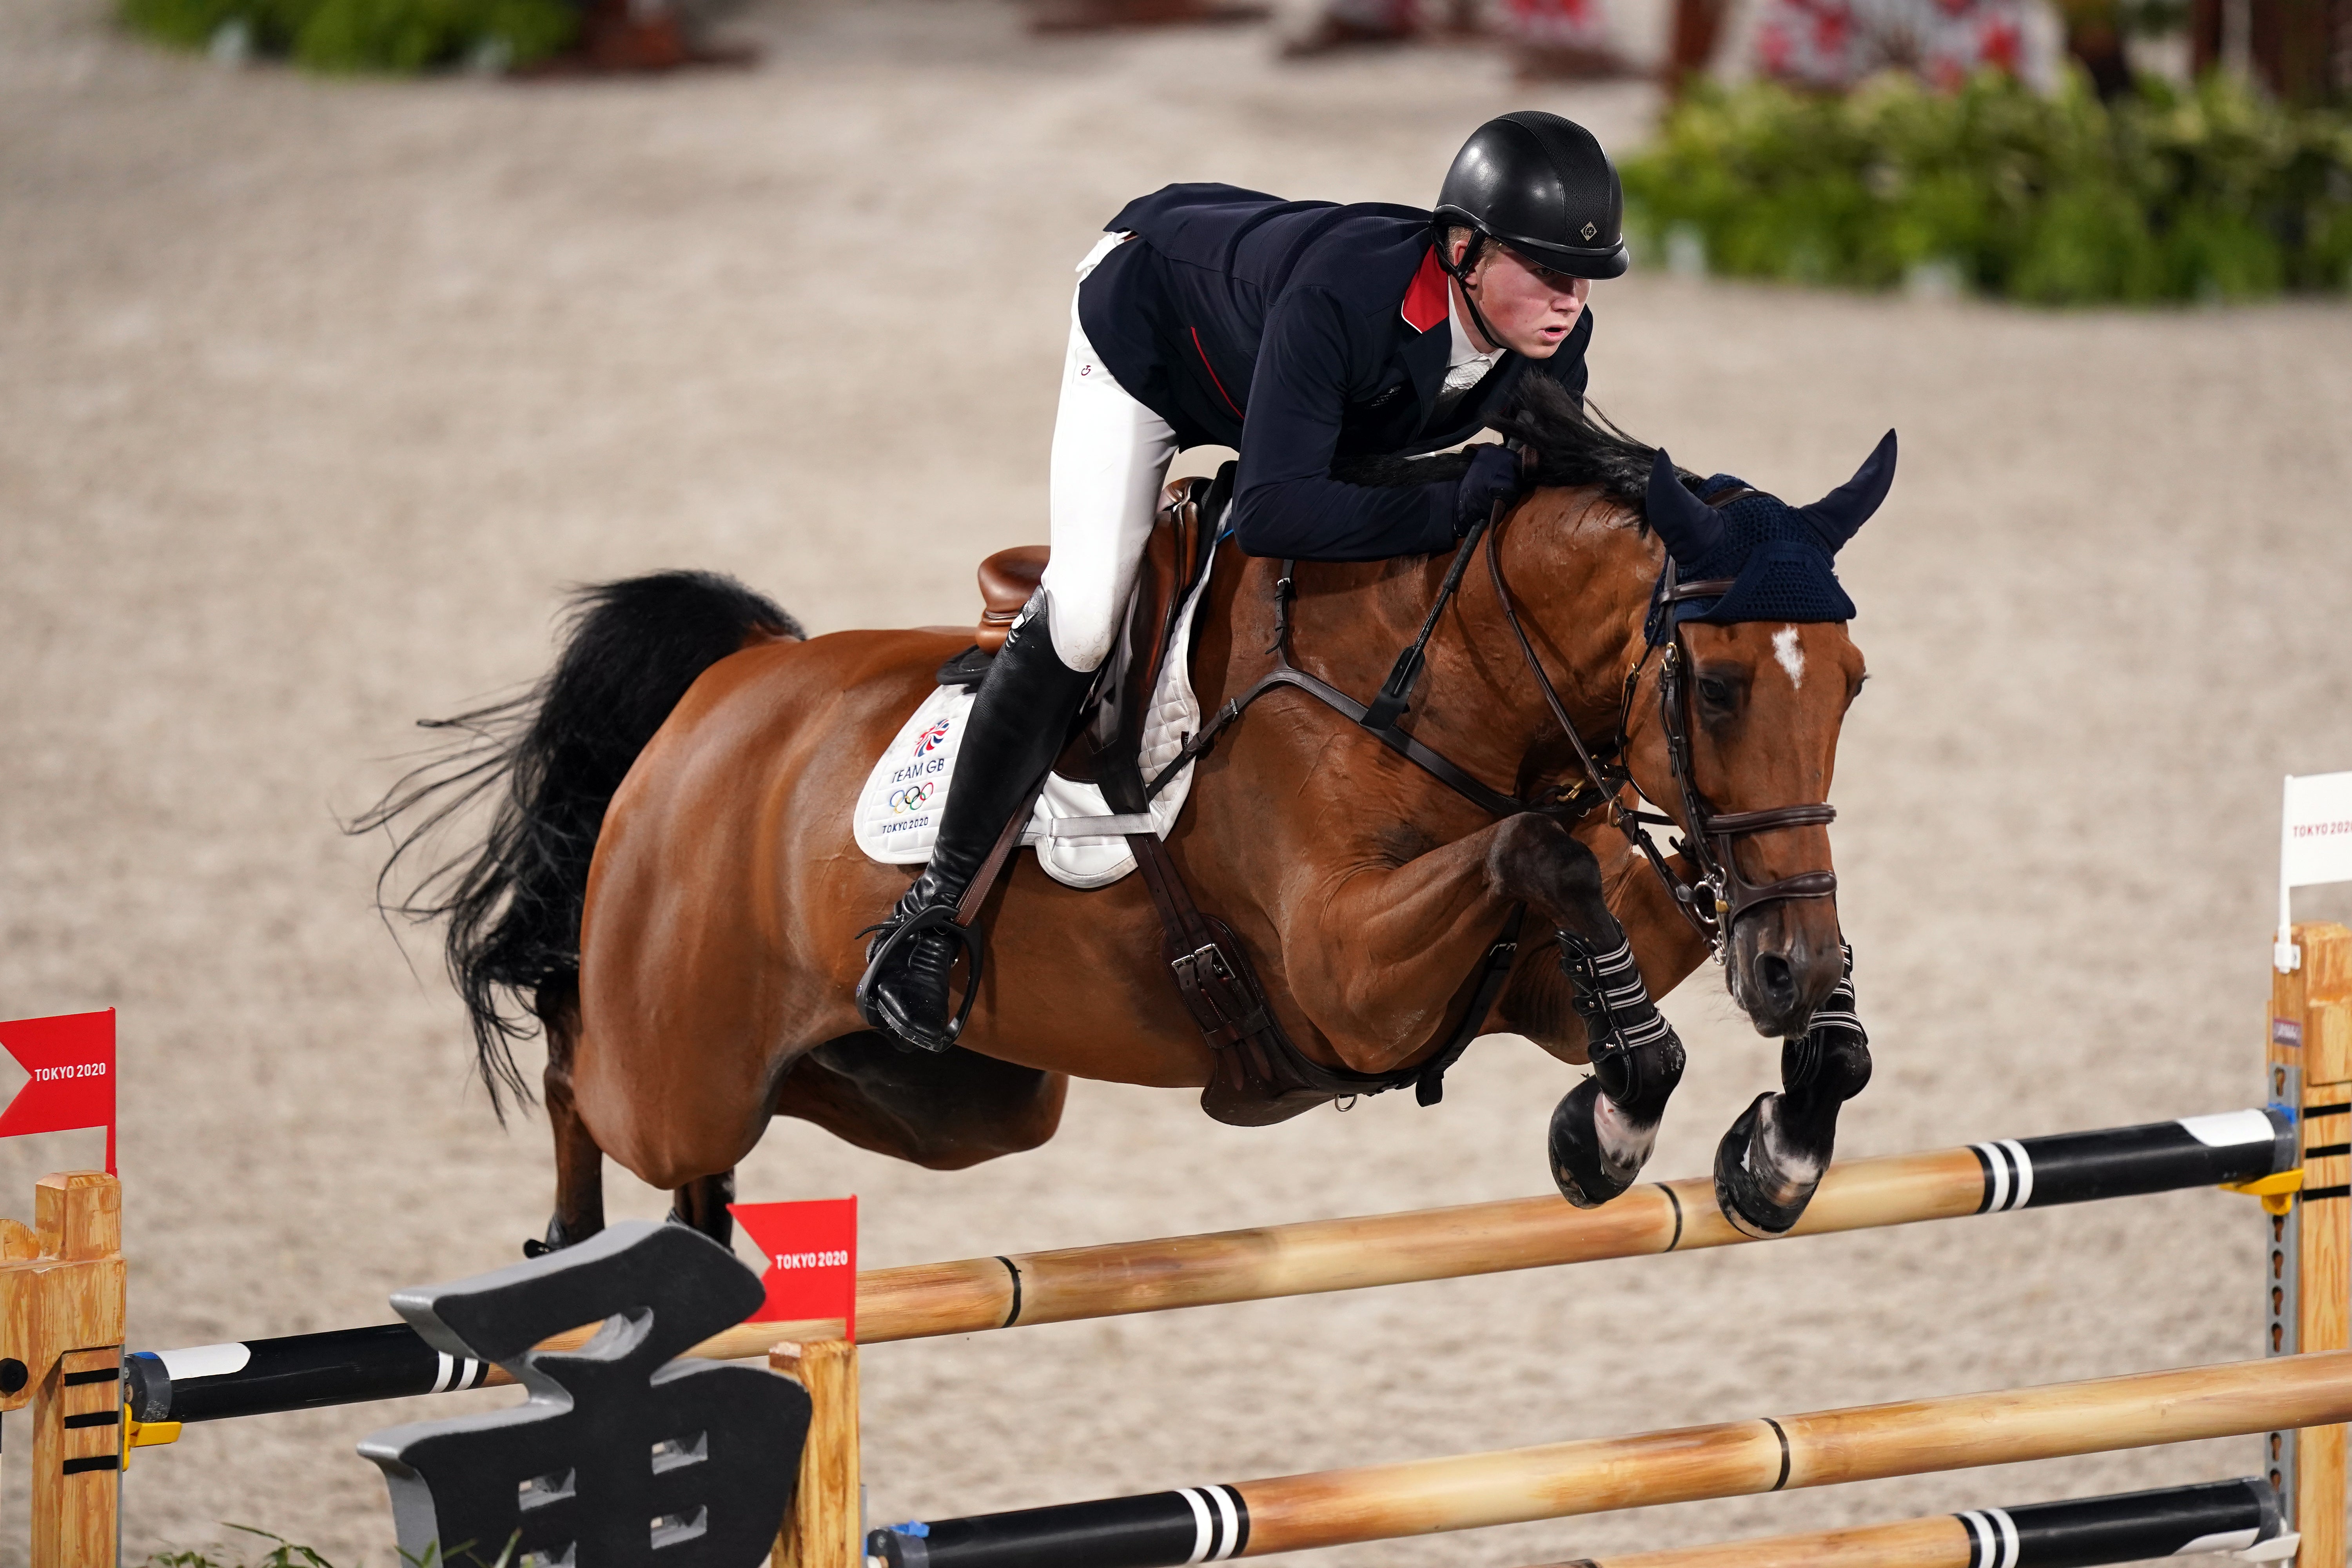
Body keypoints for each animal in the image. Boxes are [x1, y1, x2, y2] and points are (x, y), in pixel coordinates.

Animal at [362, 385, 1891, 1260]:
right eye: (1720, 682)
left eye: (1853, 685)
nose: (1782, 968)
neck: (1433, 672)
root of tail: (721, 691)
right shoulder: (1352, 982)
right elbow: (1544, 856)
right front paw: (1612, 1135)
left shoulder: (1528, 988)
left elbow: (1623, 946)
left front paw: (1784, 1133)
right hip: (676, 1061)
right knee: (581, 1063)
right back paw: (570, 1248)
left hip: (960, 1099)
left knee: (747, 1131)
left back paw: (701, 1260)